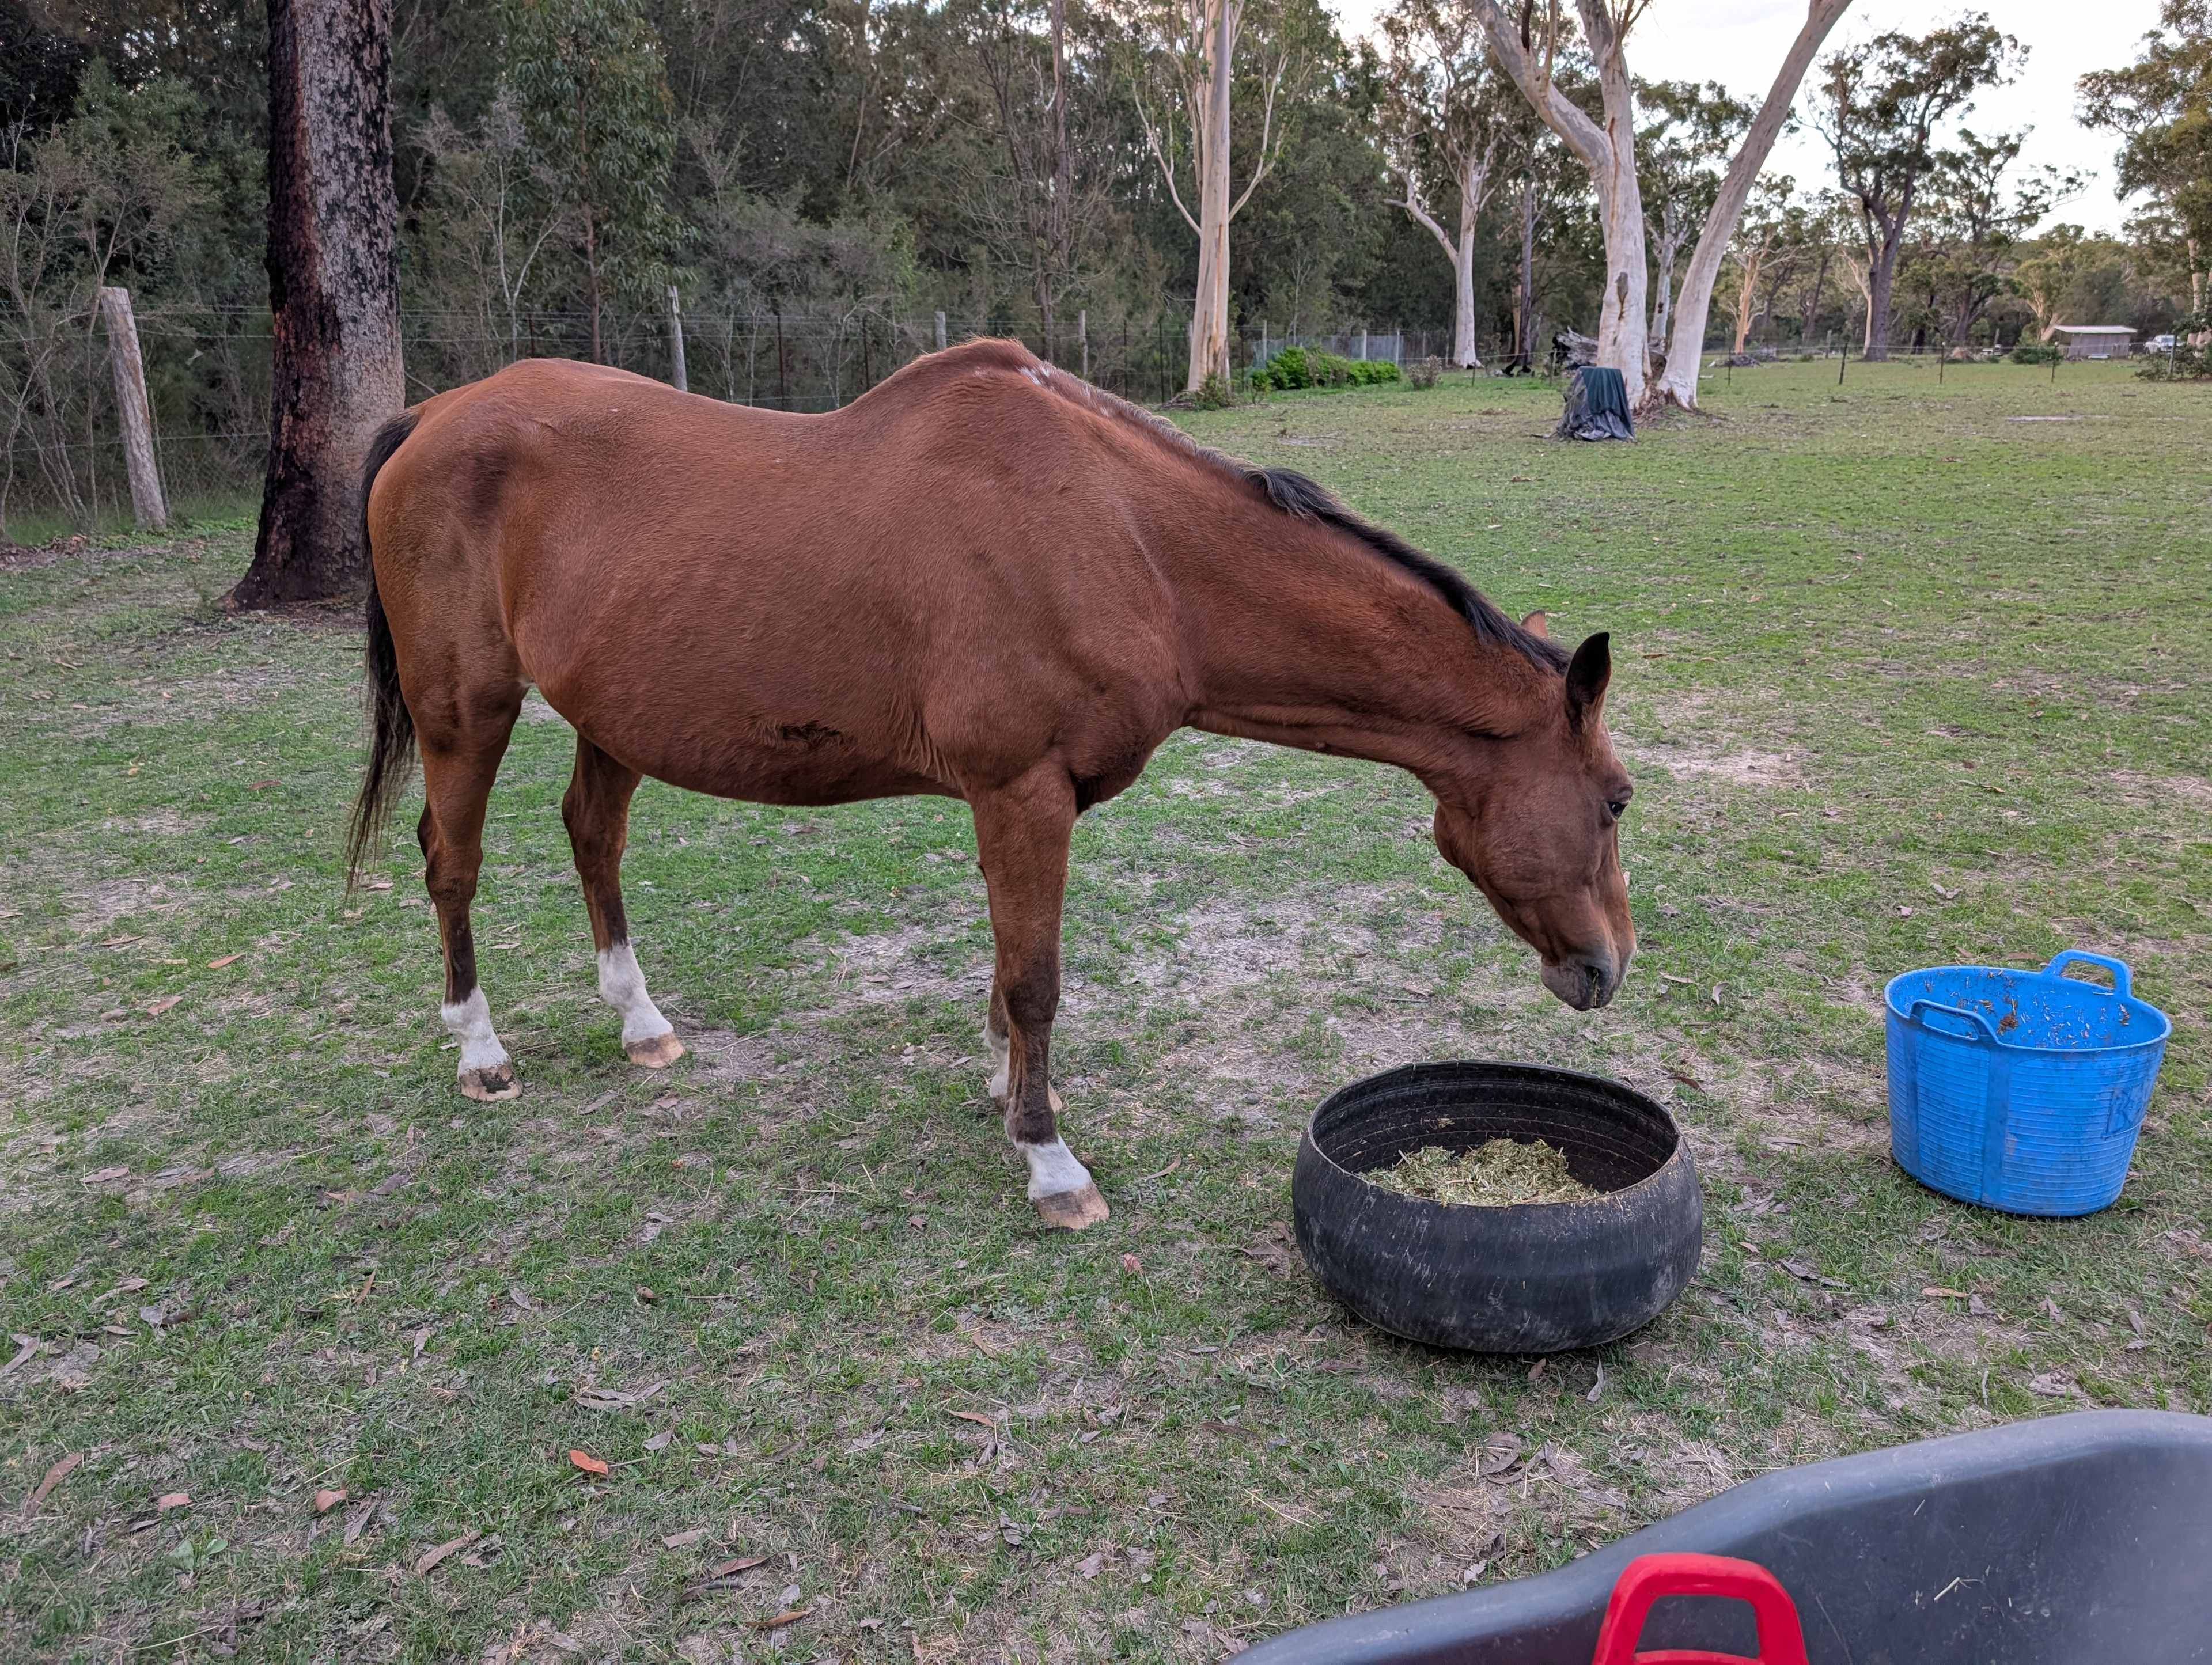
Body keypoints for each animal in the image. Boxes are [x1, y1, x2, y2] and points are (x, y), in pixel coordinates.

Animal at [348, 340, 1635, 1230]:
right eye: (1618, 798)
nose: (1606, 967)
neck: (1127, 540)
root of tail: (433, 415)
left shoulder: (1009, 801)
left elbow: (1006, 969)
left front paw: (1001, 1092)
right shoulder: (1022, 791)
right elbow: (1037, 981)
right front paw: (1052, 1158)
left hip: (609, 712)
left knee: (592, 837)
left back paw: (642, 1023)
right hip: (468, 711)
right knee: (451, 863)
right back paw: (480, 1051)